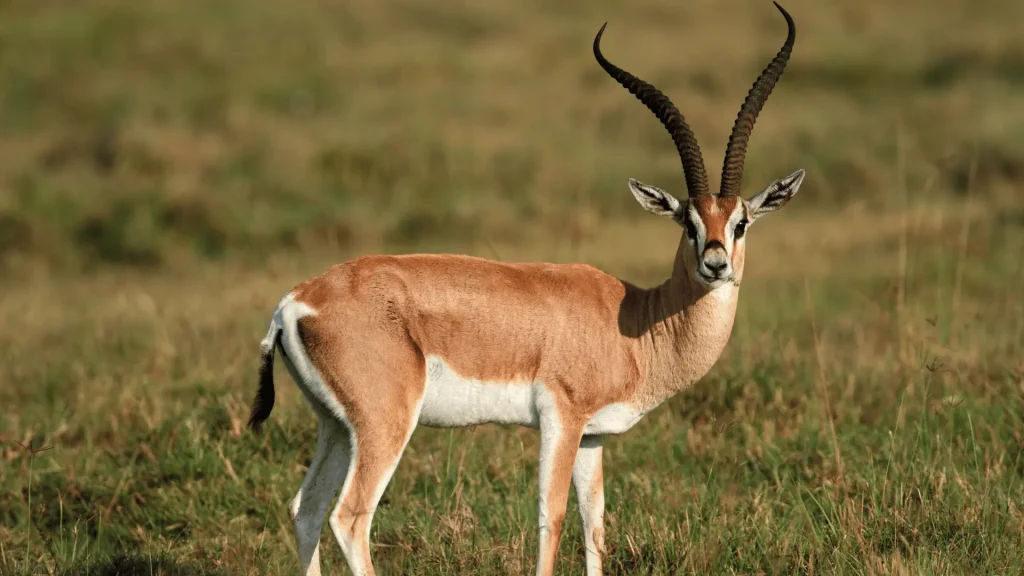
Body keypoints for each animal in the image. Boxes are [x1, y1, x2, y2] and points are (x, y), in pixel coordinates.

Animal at [247, 3, 804, 575]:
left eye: (740, 223)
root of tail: (294, 303)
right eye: (688, 223)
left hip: (336, 426)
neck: (636, 323)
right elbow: (551, 517)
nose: (716, 263)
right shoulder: (561, 418)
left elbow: (594, 522)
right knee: (350, 516)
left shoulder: (591, 436)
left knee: (307, 509)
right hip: (384, 425)